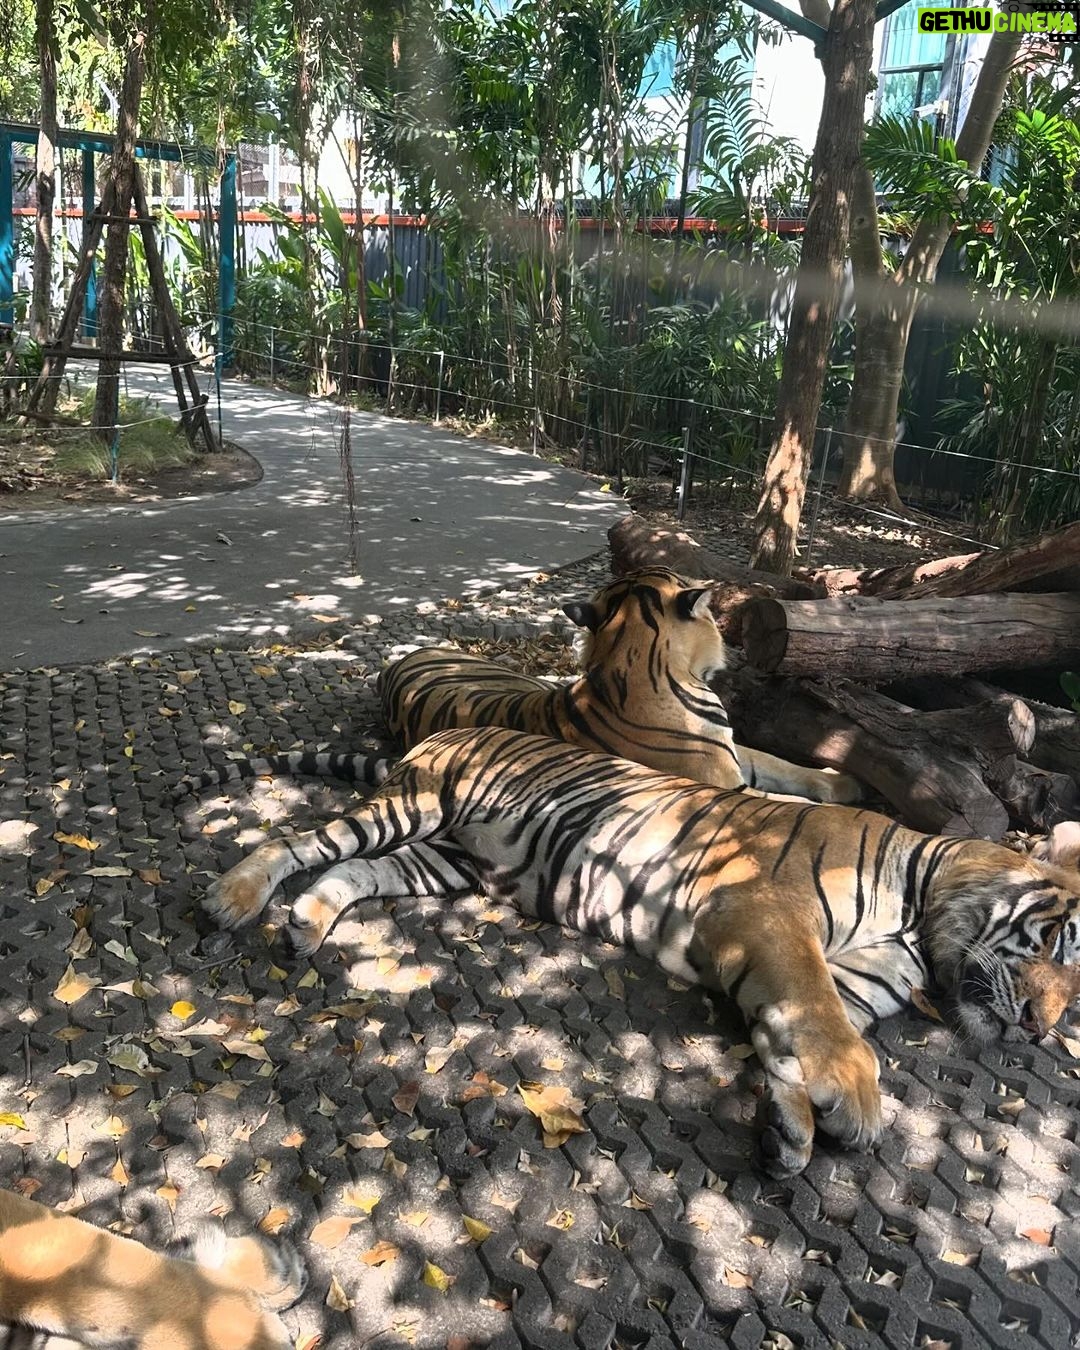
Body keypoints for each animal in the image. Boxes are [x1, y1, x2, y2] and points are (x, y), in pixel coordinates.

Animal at [177, 568, 861, 805]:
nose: (731, 647)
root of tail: (401, 659)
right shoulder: (721, 779)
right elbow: (790, 803)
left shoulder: (734, 752)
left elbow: (786, 765)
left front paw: (841, 779)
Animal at [199, 725, 1080, 1179]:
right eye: (1058, 944)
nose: (1040, 1028)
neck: (921, 920)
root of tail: (441, 729)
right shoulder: (767, 915)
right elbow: (822, 1023)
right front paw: (855, 1105)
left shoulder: (847, 974)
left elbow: (793, 1035)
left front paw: (793, 1128)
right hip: (412, 805)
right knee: (299, 840)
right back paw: (233, 898)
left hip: (442, 856)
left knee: (345, 872)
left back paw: (308, 923)